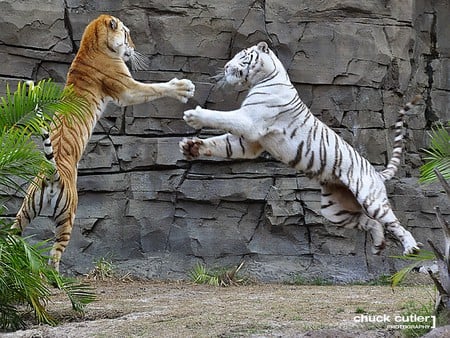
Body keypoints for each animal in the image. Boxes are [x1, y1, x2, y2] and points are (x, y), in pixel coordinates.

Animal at [12, 14, 194, 270]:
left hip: (26, 208)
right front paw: (183, 88)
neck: (91, 44)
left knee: (12, 232)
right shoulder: (128, 89)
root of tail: (52, 173)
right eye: (127, 34)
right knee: (54, 256)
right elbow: (155, 88)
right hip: (68, 216)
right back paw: (54, 277)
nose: (134, 48)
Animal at [180, 41, 422, 255]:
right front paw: (191, 147)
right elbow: (224, 144)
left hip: (369, 198)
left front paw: (194, 115)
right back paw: (378, 245)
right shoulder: (250, 142)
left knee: (393, 222)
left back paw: (411, 247)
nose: (226, 67)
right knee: (371, 223)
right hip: (335, 210)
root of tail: (376, 173)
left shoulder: (251, 121)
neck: (265, 78)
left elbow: (222, 117)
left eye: (243, 56)